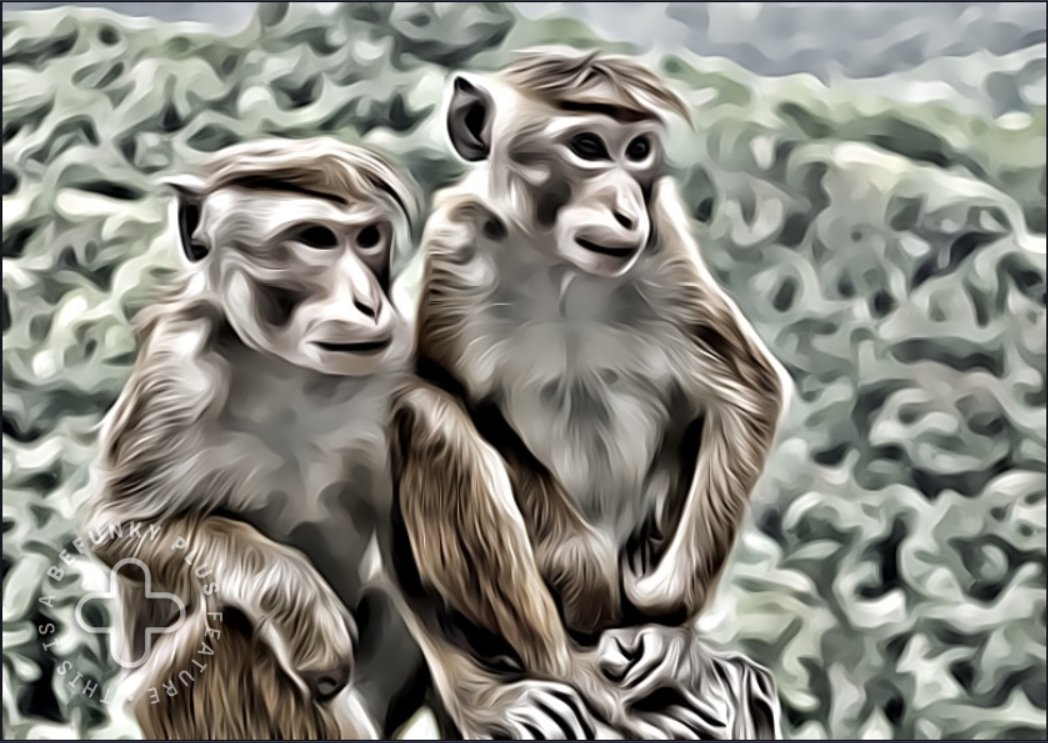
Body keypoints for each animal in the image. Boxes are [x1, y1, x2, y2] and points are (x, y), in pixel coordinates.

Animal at [83, 137, 435, 740]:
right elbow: (120, 530)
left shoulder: (395, 362)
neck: (282, 368)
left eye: (368, 238)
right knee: (225, 617)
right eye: (315, 238)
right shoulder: (173, 379)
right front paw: (307, 614)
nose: (368, 304)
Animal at [390, 48, 789, 739]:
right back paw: (549, 671)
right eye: (586, 147)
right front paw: (578, 567)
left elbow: (748, 393)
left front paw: (669, 622)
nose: (627, 208)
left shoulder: (665, 251)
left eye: (638, 151)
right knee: (425, 419)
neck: (558, 266)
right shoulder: (454, 248)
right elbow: (450, 395)